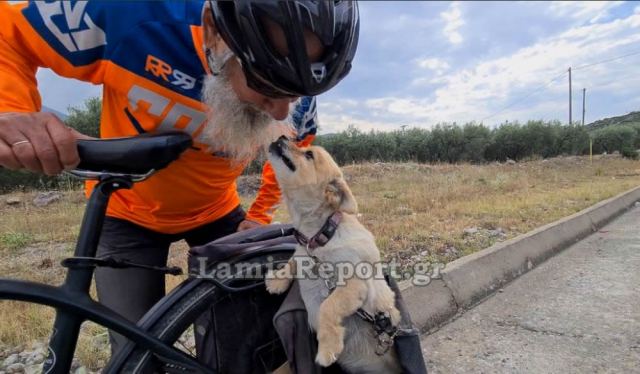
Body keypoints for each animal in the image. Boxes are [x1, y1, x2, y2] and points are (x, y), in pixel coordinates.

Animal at [264, 138, 400, 374]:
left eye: (309, 155)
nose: (281, 137)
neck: (319, 236)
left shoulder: (354, 282)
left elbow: (328, 306)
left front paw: (328, 347)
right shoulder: (303, 251)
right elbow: (293, 259)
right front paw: (278, 280)